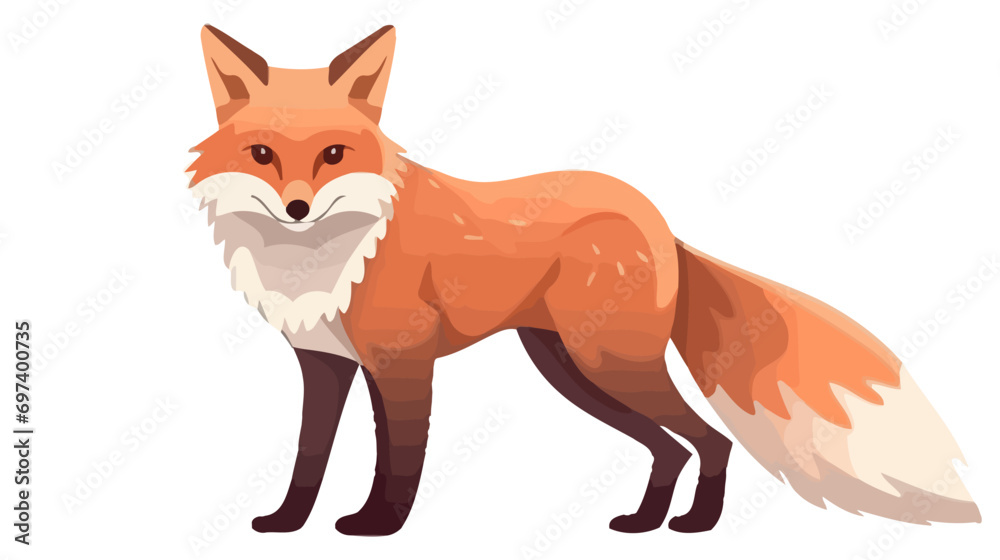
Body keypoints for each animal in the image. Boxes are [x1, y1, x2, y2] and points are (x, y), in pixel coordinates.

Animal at [187, 24, 981, 536]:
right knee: (673, 445)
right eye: (261, 154)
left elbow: (399, 459)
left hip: (609, 365)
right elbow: (308, 458)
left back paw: (696, 524)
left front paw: (379, 527)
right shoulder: (324, 363)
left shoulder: (402, 362)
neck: (329, 255)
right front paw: (286, 524)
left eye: (334, 154)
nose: (297, 208)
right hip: (572, 368)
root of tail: (660, 220)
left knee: (709, 439)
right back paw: (645, 522)